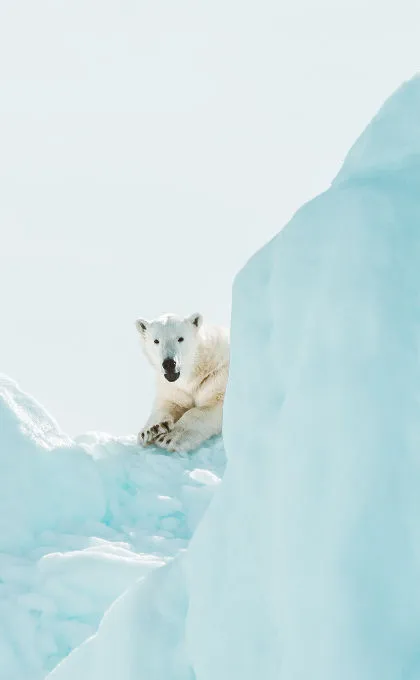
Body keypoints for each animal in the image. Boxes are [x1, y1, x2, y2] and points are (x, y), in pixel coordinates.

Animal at [135, 312, 230, 452]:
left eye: (180, 338)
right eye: (156, 340)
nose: (169, 363)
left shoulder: (216, 376)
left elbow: (210, 406)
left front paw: (170, 438)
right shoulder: (174, 388)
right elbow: (171, 402)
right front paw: (151, 429)